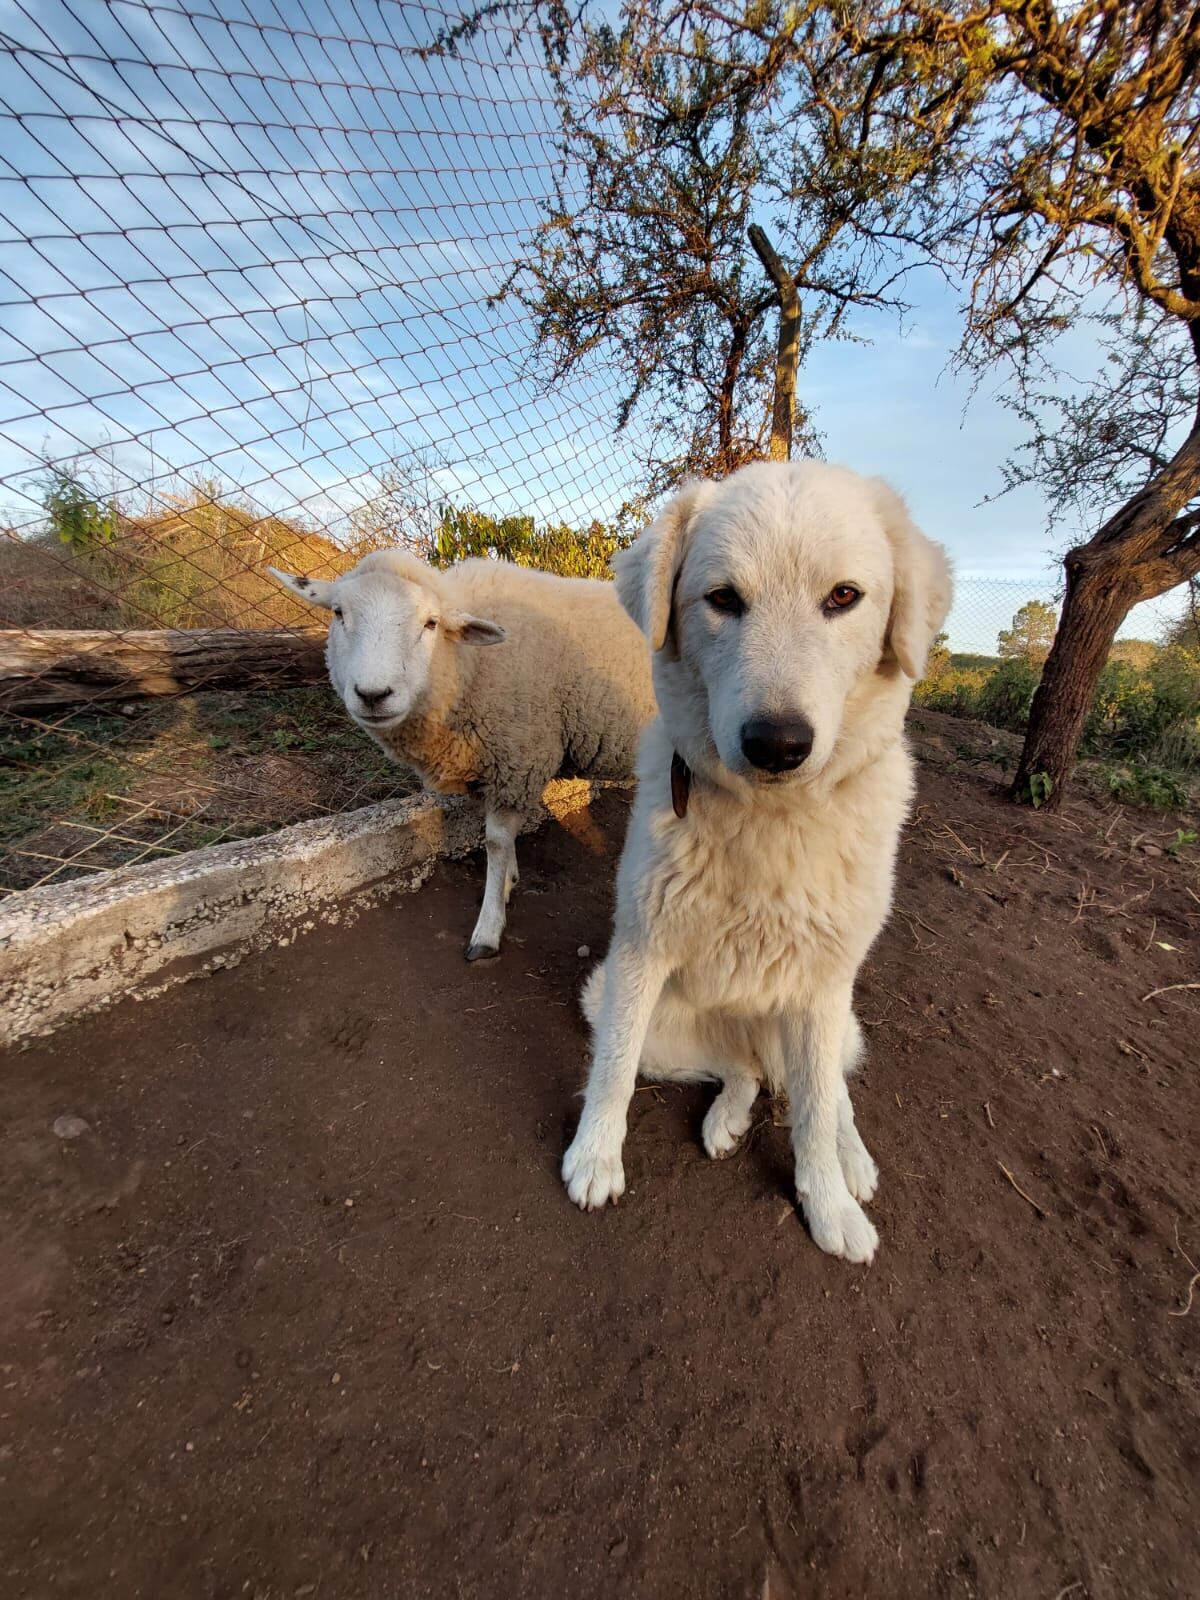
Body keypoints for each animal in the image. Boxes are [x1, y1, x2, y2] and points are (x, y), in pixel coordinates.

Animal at [270, 550, 659, 953]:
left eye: (431, 623)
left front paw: (488, 926)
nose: (373, 695)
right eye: (338, 613)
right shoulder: (494, 764)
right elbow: (501, 840)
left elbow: (495, 842)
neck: (466, 666)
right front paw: (507, 883)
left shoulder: (515, 758)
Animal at [566, 464, 960, 1260]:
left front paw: (830, 1207)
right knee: (739, 1071)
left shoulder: (823, 989)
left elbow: (814, 1119)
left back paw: (853, 1161)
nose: (777, 744)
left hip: (832, 1020)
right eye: (723, 599)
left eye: (843, 597)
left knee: (829, 1095)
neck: (769, 820)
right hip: (631, 1009)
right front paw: (594, 1158)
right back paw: (727, 1118)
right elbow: (611, 1072)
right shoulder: (638, 956)